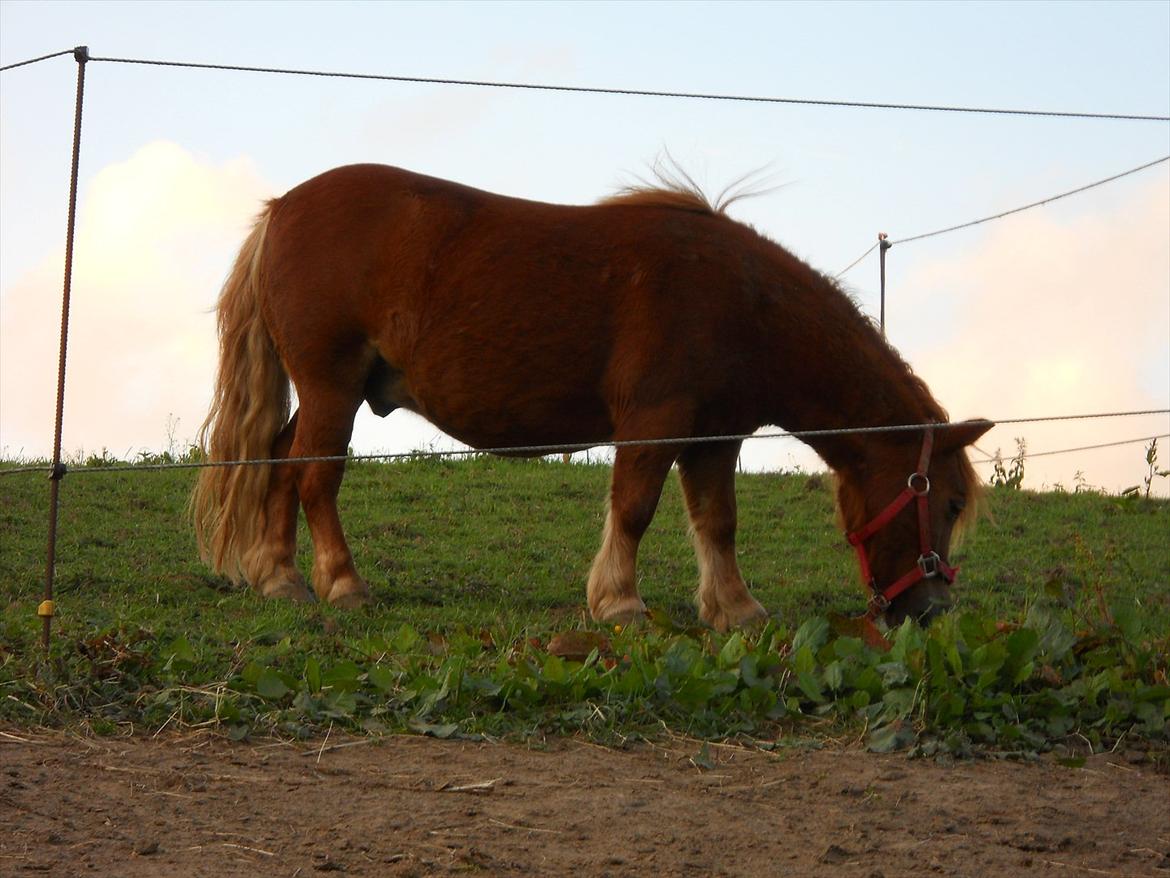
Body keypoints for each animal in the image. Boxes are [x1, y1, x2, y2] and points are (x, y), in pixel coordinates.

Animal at [194, 165, 996, 632]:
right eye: (950, 501)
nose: (932, 609)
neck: (744, 302)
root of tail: (281, 209)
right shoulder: (656, 421)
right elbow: (635, 509)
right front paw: (620, 601)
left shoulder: (715, 438)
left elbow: (718, 522)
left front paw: (734, 608)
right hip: (333, 385)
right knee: (315, 476)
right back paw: (342, 584)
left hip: (330, 391)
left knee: (279, 460)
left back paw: (279, 577)